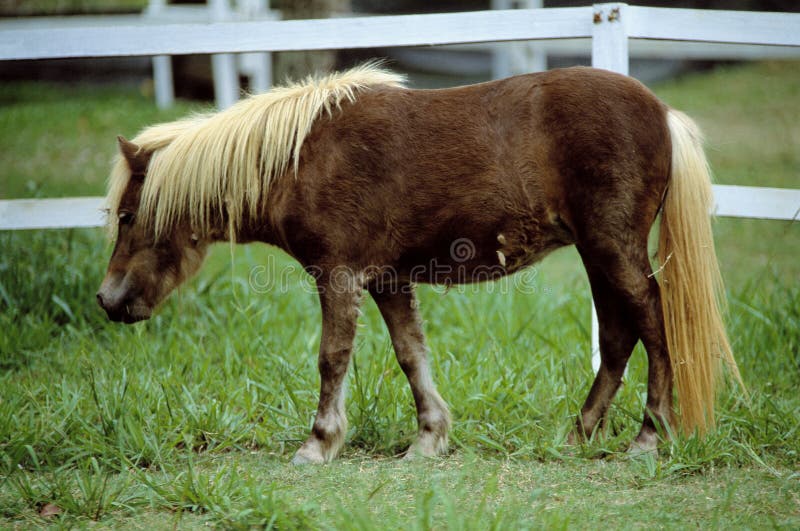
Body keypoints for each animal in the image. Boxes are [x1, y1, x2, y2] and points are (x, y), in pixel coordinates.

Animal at [97, 63, 742, 464]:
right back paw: (579, 434)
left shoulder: (339, 277)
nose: (107, 300)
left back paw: (649, 437)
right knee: (617, 337)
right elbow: (412, 355)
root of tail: (663, 113)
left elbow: (332, 358)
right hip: (598, 254)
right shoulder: (387, 280)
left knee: (653, 325)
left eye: (128, 216)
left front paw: (318, 444)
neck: (302, 156)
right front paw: (429, 439)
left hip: (612, 249)